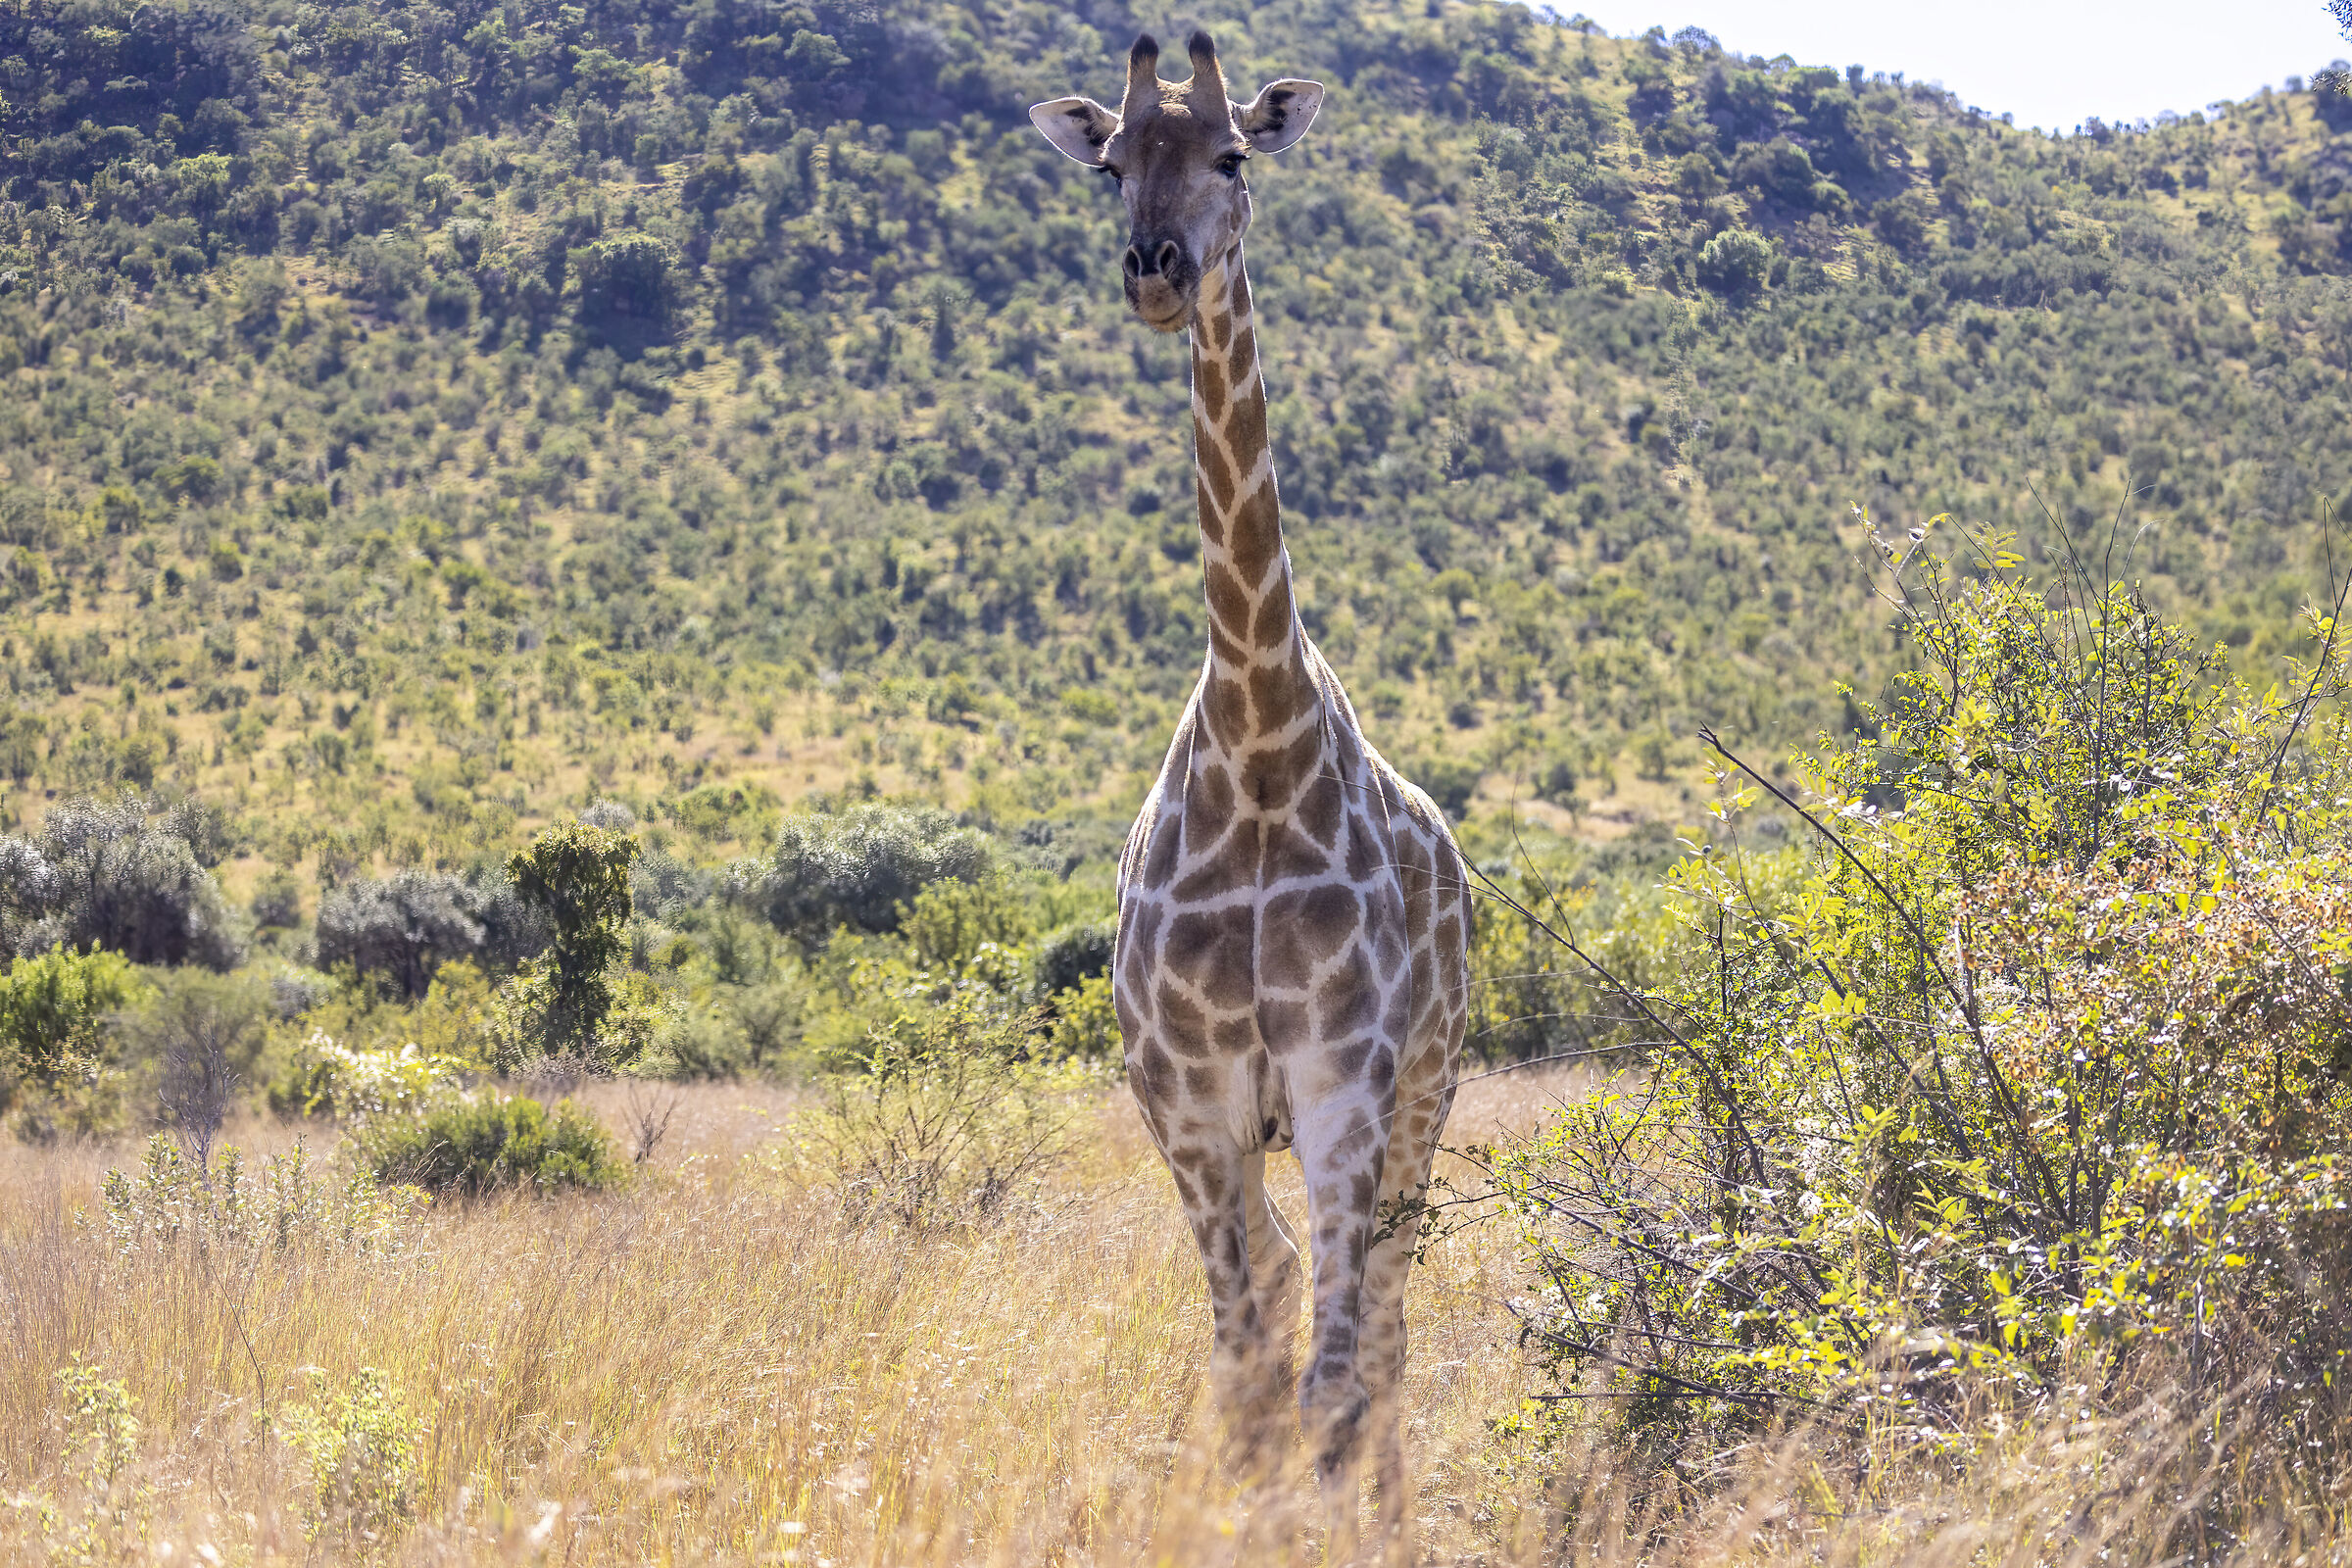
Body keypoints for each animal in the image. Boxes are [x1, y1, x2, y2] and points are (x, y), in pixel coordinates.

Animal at [1031, 31, 1472, 1559]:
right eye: (1113, 164)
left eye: (1232, 154)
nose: (1157, 270)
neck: (1261, 743)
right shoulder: (1192, 1101)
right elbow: (1245, 1369)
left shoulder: (1345, 1085)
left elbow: (1333, 1378)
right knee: (1291, 1308)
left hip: (1425, 1099)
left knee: (1382, 1317)